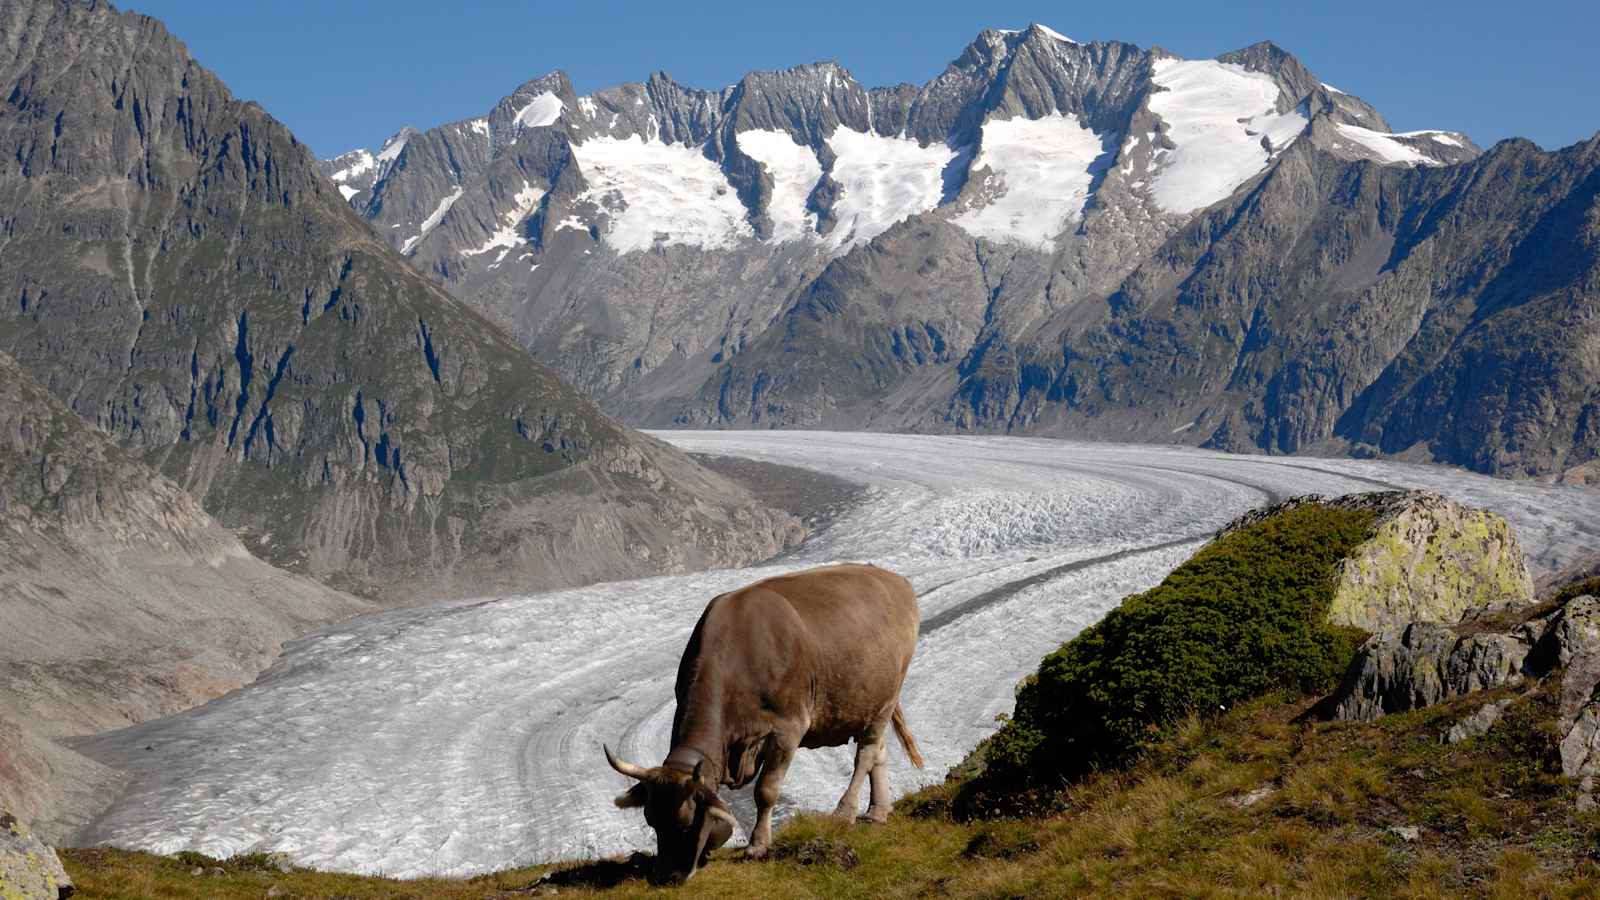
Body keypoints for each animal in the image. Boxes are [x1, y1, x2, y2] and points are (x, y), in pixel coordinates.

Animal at [601, 560, 928, 877]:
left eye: (685, 822)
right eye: (651, 820)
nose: (666, 877)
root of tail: (894, 579)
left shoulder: (788, 728)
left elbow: (766, 790)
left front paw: (757, 845)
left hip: (887, 697)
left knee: (866, 754)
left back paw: (845, 811)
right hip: (868, 702)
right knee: (878, 752)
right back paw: (877, 812)